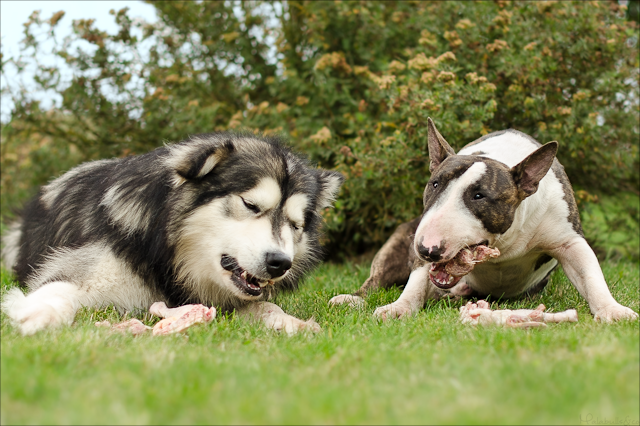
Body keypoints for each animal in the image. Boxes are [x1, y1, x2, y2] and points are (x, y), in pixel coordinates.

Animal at [2, 133, 342, 336]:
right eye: (250, 205)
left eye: (295, 224)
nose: (279, 263)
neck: (171, 260)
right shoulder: (90, 267)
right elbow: (59, 288)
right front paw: (39, 313)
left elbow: (265, 305)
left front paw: (289, 321)